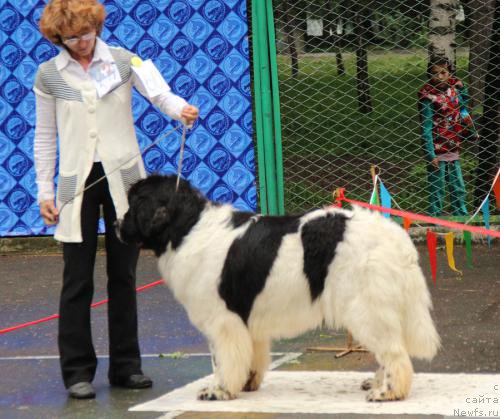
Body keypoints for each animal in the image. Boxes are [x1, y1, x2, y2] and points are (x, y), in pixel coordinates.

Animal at [116, 175, 438, 404]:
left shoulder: (222, 320)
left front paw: (219, 390)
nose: (116, 224)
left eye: (132, 205)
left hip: (365, 307)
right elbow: (250, 355)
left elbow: (222, 359)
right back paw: (377, 383)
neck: (187, 228)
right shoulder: (246, 321)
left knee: (393, 352)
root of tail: (397, 238)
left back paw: (388, 392)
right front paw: (247, 383)